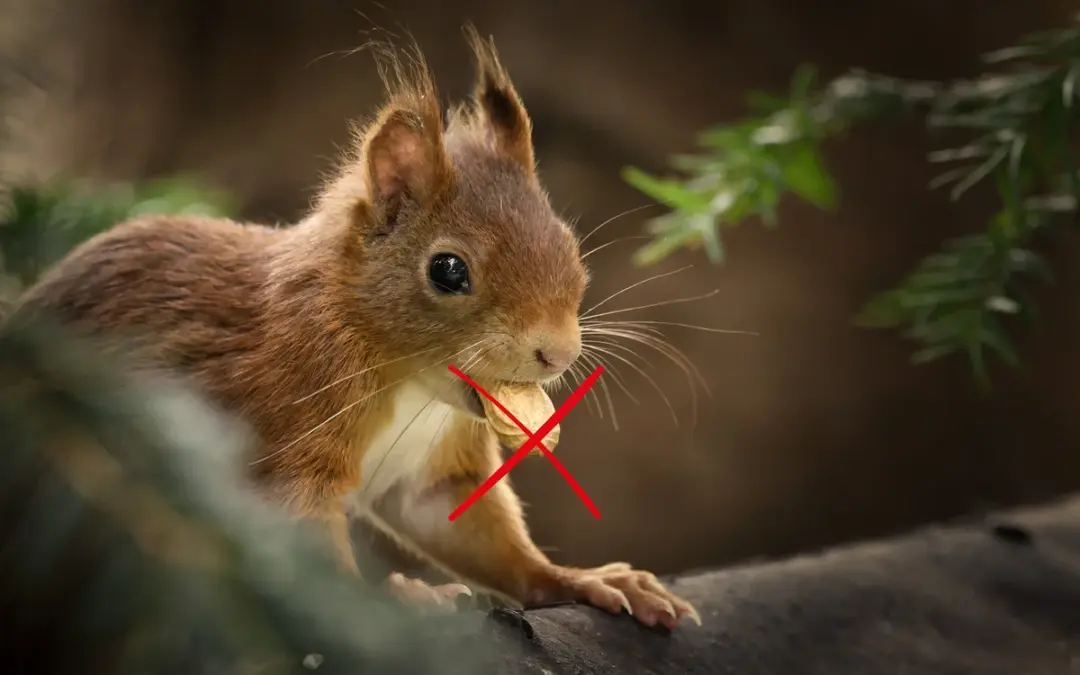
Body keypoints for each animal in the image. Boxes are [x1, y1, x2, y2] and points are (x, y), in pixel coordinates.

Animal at [9, 27, 701, 630]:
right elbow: (303, 534)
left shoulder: (431, 470)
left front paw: (585, 579)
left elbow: (470, 529)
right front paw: (395, 601)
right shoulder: (288, 422)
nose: (557, 352)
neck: (410, 383)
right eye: (448, 270)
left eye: (567, 243)